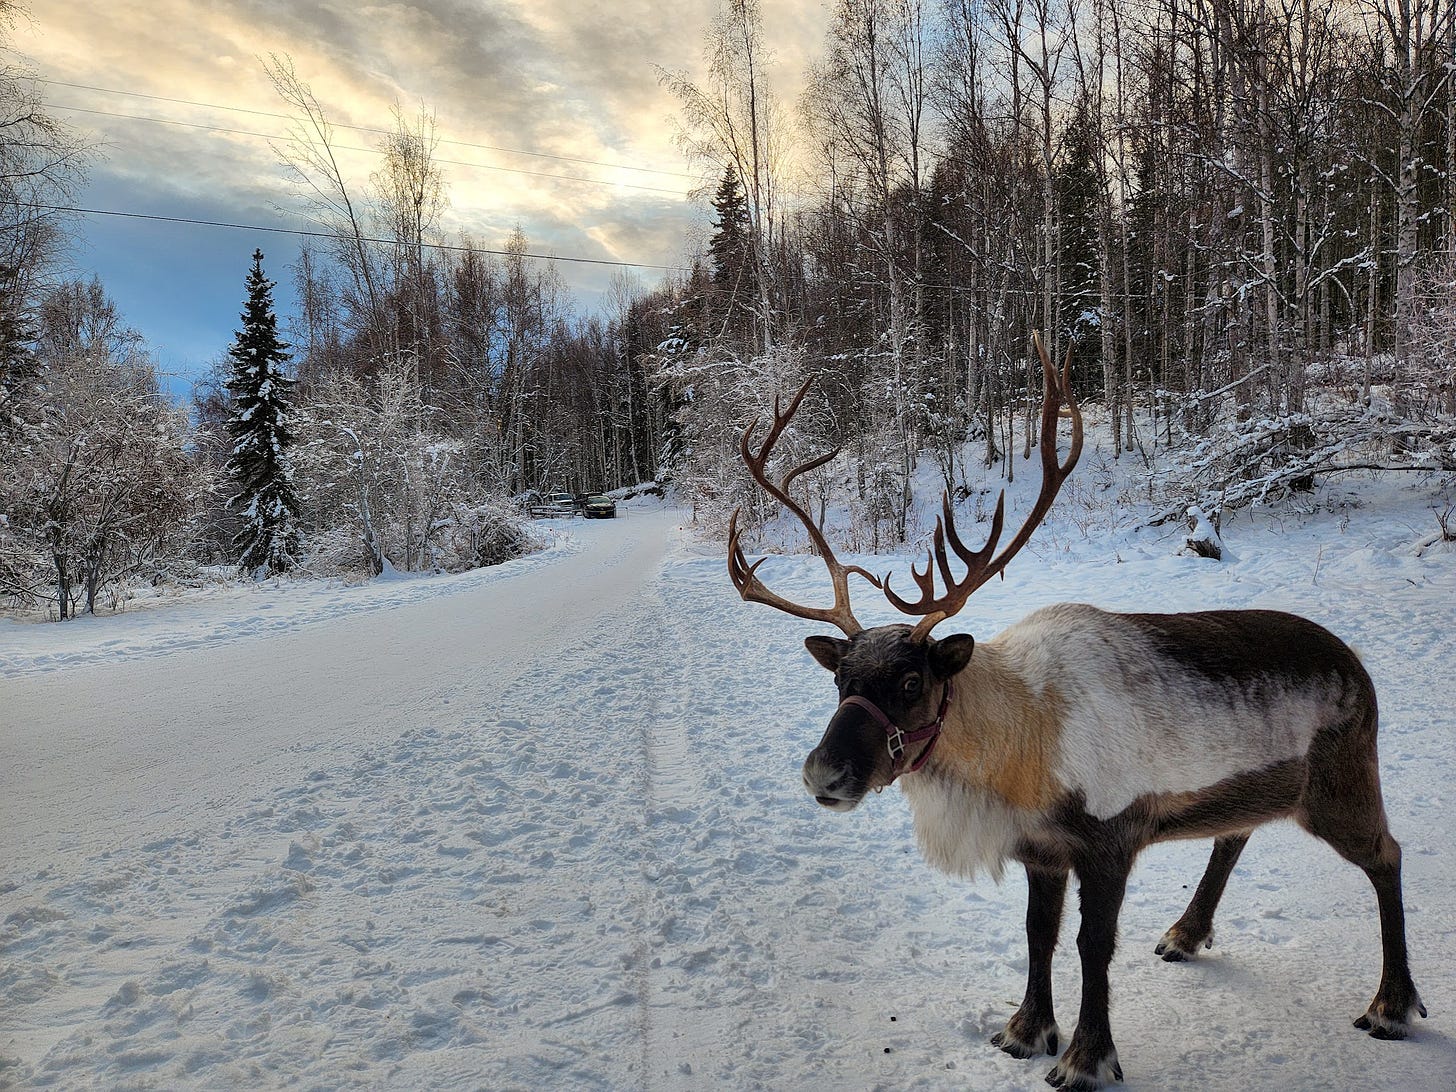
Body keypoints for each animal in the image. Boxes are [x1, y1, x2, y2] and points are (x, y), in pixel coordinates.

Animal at [726, 334, 1425, 1090]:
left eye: (911, 680)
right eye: (840, 679)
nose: (822, 773)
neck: (1019, 743)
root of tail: (1358, 664)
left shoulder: (1108, 841)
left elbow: (1093, 945)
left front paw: (1087, 1056)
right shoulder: (1041, 848)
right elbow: (1039, 935)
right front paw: (1026, 1030)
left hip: (1342, 780)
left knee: (1386, 854)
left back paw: (1390, 1004)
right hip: (1258, 786)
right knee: (1234, 834)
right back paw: (1185, 933)